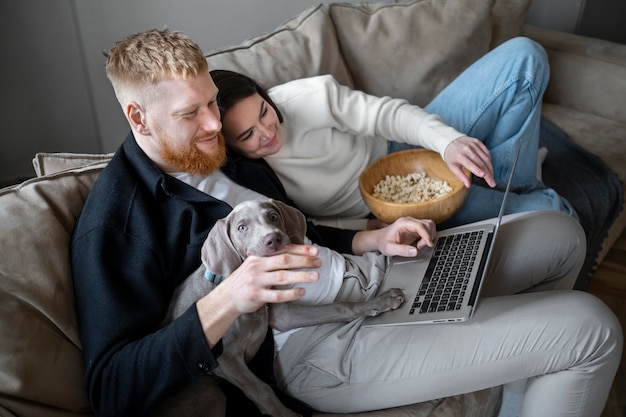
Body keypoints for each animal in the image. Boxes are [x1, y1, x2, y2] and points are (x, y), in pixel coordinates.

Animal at [162, 199, 404, 416]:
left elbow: (339, 307)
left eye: (273, 216)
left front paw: (381, 301)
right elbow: (261, 389)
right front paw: (285, 414)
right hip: (208, 390)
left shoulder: (281, 314)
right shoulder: (225, 359)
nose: (273, 239)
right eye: (242, 227)